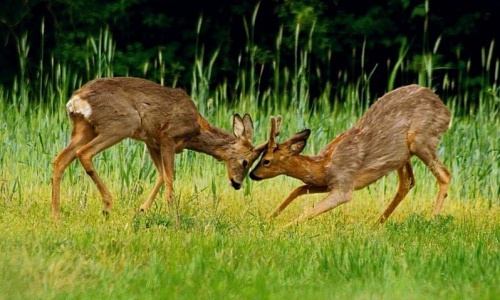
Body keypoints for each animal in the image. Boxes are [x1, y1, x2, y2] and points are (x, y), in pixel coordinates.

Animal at [52, 76, 268, 219]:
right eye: (245, 161)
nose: (237, 184)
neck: (196, 130)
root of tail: (75, 101)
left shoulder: (151, 141)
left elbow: (162, 176)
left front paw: (142, 210)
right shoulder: (168, 138)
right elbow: (170, 177)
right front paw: (173, 214)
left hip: (83, 128)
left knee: (59, 159)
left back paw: (56, 215)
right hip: (121, 123)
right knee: (84, 153)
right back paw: (107, 205)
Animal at [252, 84, 452, 225]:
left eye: (266, 161)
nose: (253, 174)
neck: (323, 166)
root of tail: (447, 113)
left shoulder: (344, 184)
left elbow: (310, 210)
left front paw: (280, 230)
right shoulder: (327, 183)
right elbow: (298, 189)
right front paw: (270, 218)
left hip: (421, 140)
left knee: (444, 175)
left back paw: (432, 219)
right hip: (402, 155)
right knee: (408, 182)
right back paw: (377, 224)